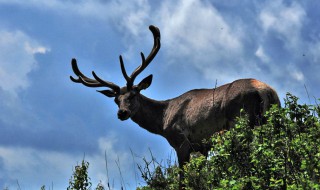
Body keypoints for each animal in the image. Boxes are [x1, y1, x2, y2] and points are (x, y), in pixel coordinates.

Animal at [70, 24, 280, 171]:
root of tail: (265, 91)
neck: (163, 120)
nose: (122, 113)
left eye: (133, 95)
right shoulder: (202, 147)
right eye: (116, 100)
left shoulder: (181, 141)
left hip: (240, 121)